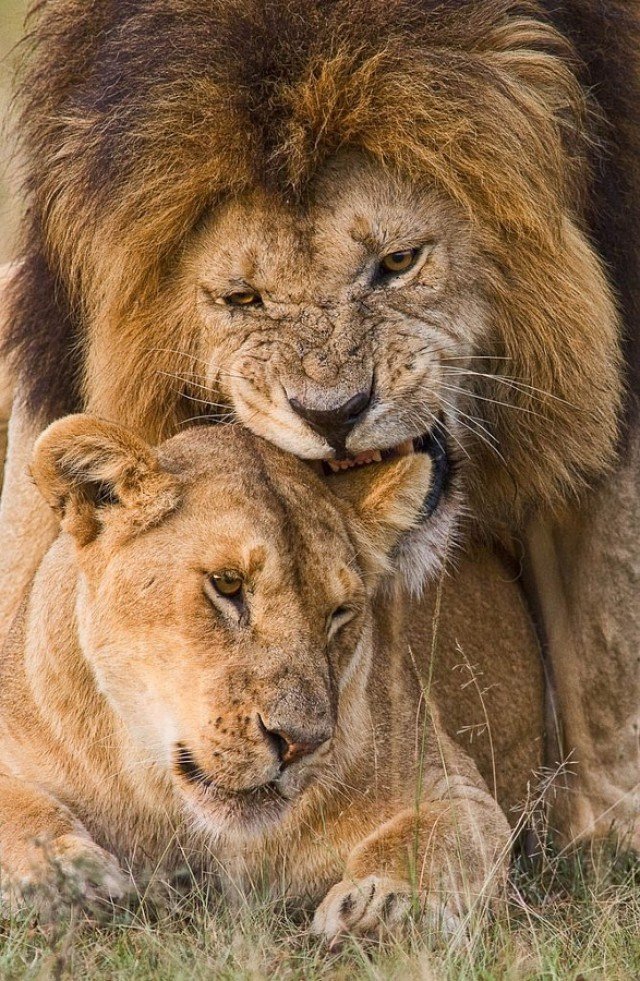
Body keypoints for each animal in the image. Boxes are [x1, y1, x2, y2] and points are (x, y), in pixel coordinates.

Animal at [0, 415, 547, 938]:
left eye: (339, 613)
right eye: (227, 584)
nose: (300, 743)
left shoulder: (453, 784)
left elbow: (431, 837)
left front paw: (386, 906)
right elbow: (20, 810)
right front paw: (65, 877)